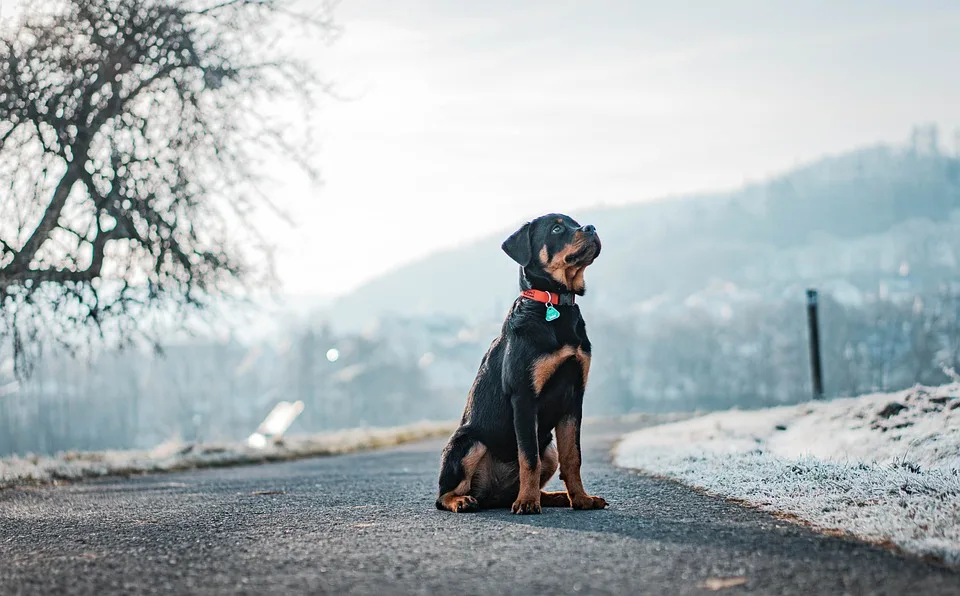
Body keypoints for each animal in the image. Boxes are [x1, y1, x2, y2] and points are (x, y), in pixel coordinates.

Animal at [436, 213, 608, 512]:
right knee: (443, 495)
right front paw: (527, 503)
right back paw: (464, 500)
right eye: (557, 228)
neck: (554, 304)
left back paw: (553, 497)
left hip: (548, 447)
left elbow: (572, 457)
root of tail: (491, 495)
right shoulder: (524, 396)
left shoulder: (574, 397)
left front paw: (581, 499)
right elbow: (528, 457)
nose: (591, 228)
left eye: (576, 223)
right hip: (469, 442)